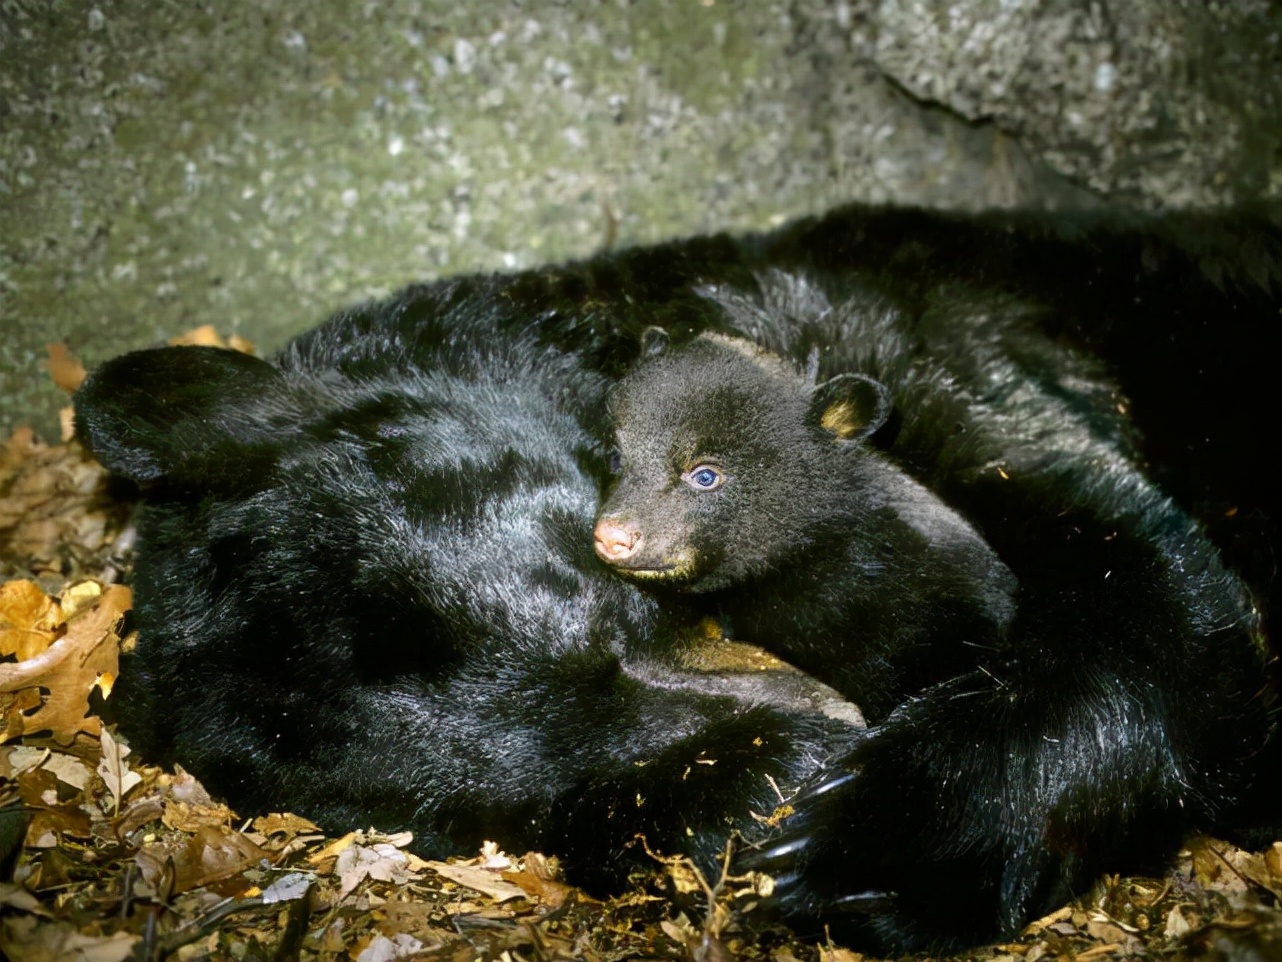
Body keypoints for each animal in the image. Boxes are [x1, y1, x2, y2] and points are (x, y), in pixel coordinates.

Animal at [74, 203, 1276, 959]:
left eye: (627, 610)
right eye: (532, 808)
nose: (822, 744)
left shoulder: (906, 349)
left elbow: (1156, 603)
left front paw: (874, 836)